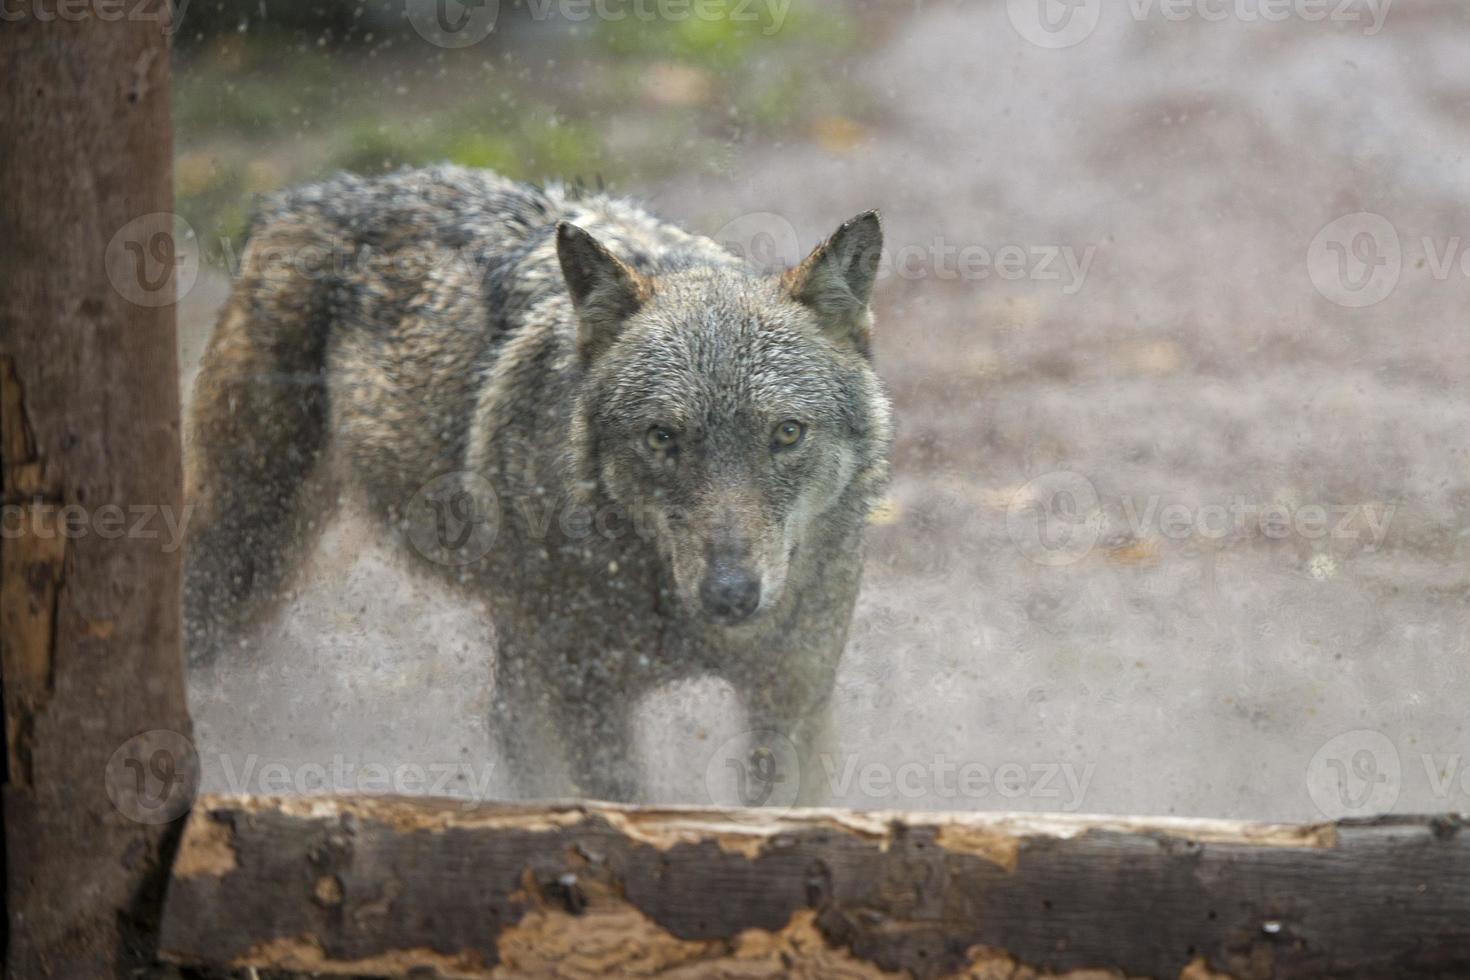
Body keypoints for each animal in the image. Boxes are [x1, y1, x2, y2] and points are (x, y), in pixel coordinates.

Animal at [186, 164, 893, 799]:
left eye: (787, 434)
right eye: (662, 439)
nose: (730, 595)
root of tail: (306, 196)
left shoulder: (789, 705)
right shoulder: (590, 707)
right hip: (245, 565)